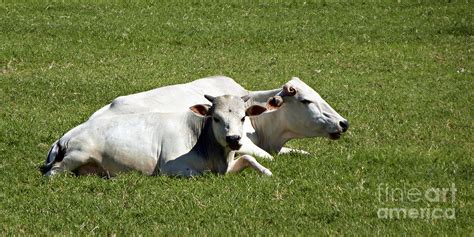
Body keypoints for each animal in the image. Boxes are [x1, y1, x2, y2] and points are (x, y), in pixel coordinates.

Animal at [42, 95, 272, 177]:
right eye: (215, 118)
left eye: (243, 117)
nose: (234, 139)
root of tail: (64, 137)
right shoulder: (170, 167)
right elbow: (199, 174)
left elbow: (249, 157)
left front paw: (266, 171)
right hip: (75, 157)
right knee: (52, 173)